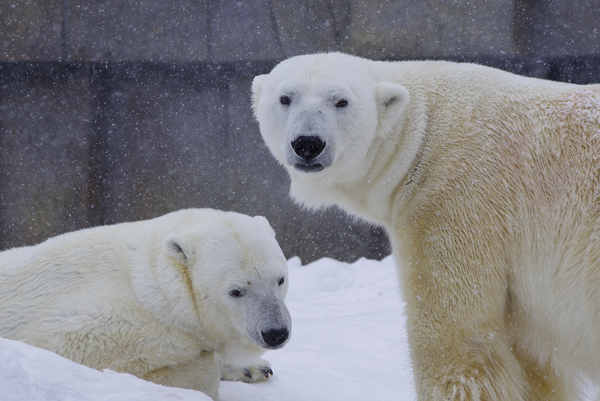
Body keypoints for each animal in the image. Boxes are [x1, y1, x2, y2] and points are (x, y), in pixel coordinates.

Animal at [252, 53, 600, 400]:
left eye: (341, 101)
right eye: (285, 98)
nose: (308, 144)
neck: (420, 134)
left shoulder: (455, 199)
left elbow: (454, 341)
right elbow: (535, 364)